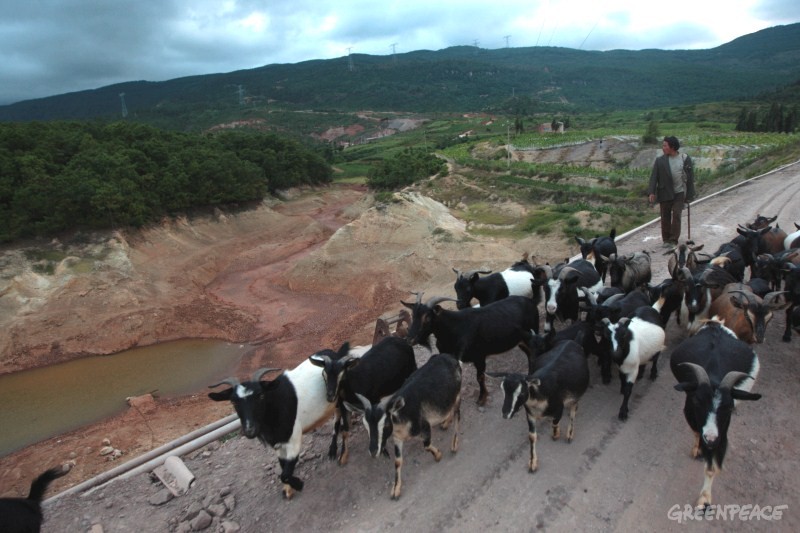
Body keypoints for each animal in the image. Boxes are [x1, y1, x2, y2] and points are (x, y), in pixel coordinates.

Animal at [208, 358, 336, 498]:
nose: (250, 430)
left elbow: (285, 474)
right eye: (233, 401)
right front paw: (288, 490)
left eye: (261, 395)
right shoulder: (278, 444)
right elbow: (283, 466)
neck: (277, 405)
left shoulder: (294, 440)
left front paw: (299, 484)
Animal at [346, 354, 462, 498]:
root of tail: (451, 358)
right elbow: (397, 461)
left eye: (385, 424)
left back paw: (454, 444)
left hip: (457, 395)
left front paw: (438, 455)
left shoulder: (424, 426)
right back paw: (446, 423)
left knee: (458, 415)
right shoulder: (397, 438)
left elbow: (427, 445)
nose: (373, 451)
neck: (402, 416)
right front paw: (396, 489)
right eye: (365, 426)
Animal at [488, 338, 588, 472]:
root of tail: (571, 341)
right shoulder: (530, 414)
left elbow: (555, 422)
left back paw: (569, 434)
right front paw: (532, 464)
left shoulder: (559, 407)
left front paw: (556, 435)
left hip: (577, 394)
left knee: (574, 409)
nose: (505, 414)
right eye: (502, 389)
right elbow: (532, 436)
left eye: (522, 392)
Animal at [672, 318, 760, 510]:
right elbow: (696, 431)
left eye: (729, 408)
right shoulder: (690, 412)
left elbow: (712, 466)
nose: (710, 438)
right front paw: (698, 449)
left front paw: (704, 500)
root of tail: (715, 325)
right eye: (698, 402)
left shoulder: (722, 430)